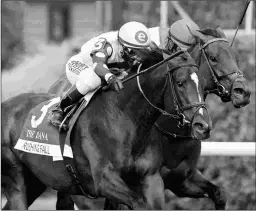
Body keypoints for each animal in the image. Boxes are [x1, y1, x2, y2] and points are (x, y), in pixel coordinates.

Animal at [1, 49, 210, 209]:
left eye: (202, 83)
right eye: (180, 83)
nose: (203, 126)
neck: (124, 118)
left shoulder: (151, 178)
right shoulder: (104, 180)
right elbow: (139, 204)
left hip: (37, 180)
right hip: (15, 176)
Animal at [51, 27, 250, 209]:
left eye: (235, 56)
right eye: (214, 57)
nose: (243, 91)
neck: (172, 132)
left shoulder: (182, 179)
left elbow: (219, 192)